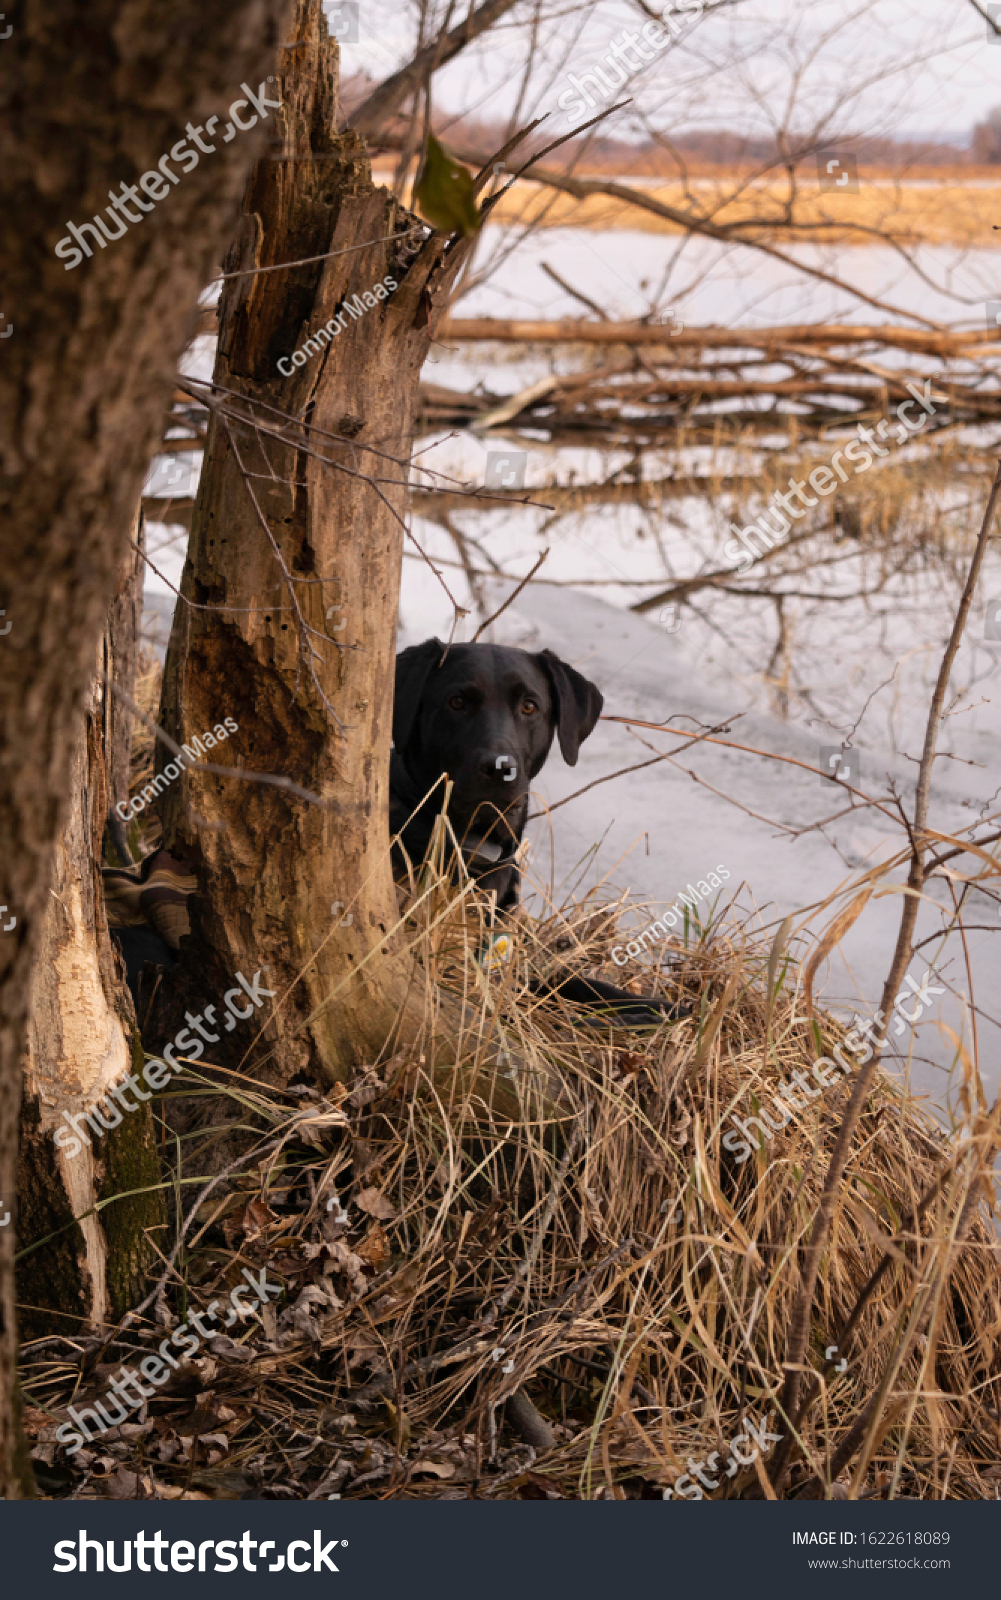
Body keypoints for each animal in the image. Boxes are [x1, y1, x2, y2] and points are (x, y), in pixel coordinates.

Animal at [390, 640, 677, 1024]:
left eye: (529, 706)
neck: (478, 848)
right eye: (457, 702)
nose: (500, 768)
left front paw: (659, 1007)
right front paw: (623, 1020)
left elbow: (573, 982)